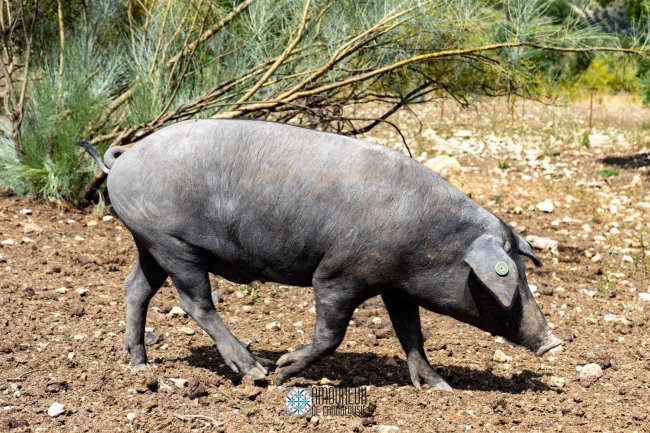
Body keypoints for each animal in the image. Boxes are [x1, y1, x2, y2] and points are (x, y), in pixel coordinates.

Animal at [78, 119, 562, 390]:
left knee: (136, 288)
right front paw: (284, 370)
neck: (428, 236)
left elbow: (412, 333)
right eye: (507, 276)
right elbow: (332, 335)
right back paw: (255, 369)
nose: (553, 342)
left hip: (148, 242)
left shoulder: (394, 285)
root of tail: (125, 156)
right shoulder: (339, 274)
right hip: (173, 243)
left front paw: (439, 388)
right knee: (195, 301)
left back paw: (139, 366)